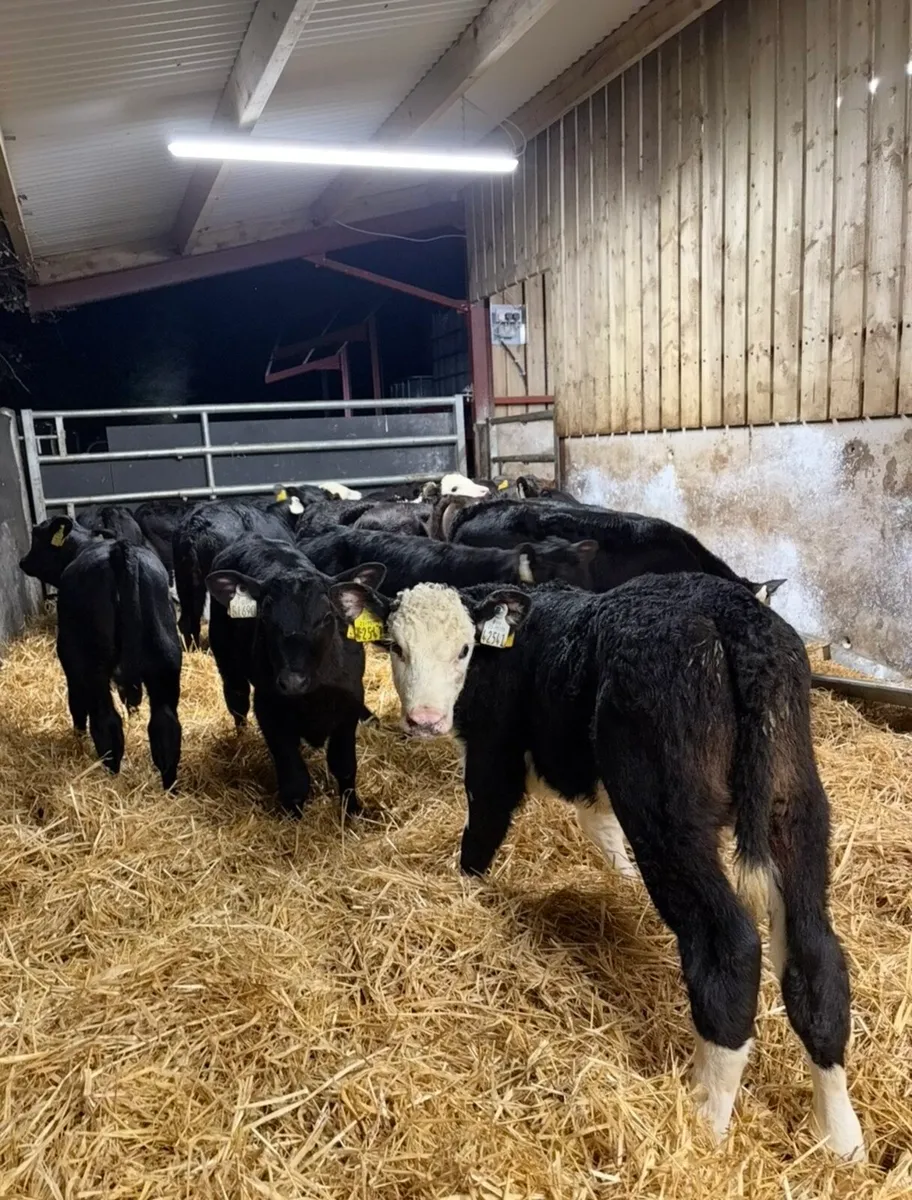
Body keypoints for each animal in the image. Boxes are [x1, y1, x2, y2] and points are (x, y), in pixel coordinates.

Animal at [19, 516, 182, 788]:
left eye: (37, 536)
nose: (23, 561)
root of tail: (118, 551)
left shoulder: (70, 661)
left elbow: (76, 703)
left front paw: (77, 736)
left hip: (92, 665)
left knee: (106, 722)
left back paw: (111, 776)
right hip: (165, 663)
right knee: (165, 726)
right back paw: (169, 787)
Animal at [204, 534, 384, 817]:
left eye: (326, 617)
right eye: (265, 618)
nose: (292, 682)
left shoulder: (350, 703)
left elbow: (344, 765)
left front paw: (352, 811)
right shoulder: (269, 708)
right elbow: (294, 778)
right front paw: (294, 818)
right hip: (227, 662)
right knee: (236, 701)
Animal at [331, 573, 865, 1162]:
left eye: (464, 649)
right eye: (397, 647)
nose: (424, 720)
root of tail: (733, 621)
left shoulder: (494, 759)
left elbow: (480, 836)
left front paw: (464, 895)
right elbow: (600, 828)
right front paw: (618, 880)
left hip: (668, 812)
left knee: (729, 946)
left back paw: (706, 1117)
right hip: (794, 804)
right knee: (816, 955)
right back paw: (840, 1136)